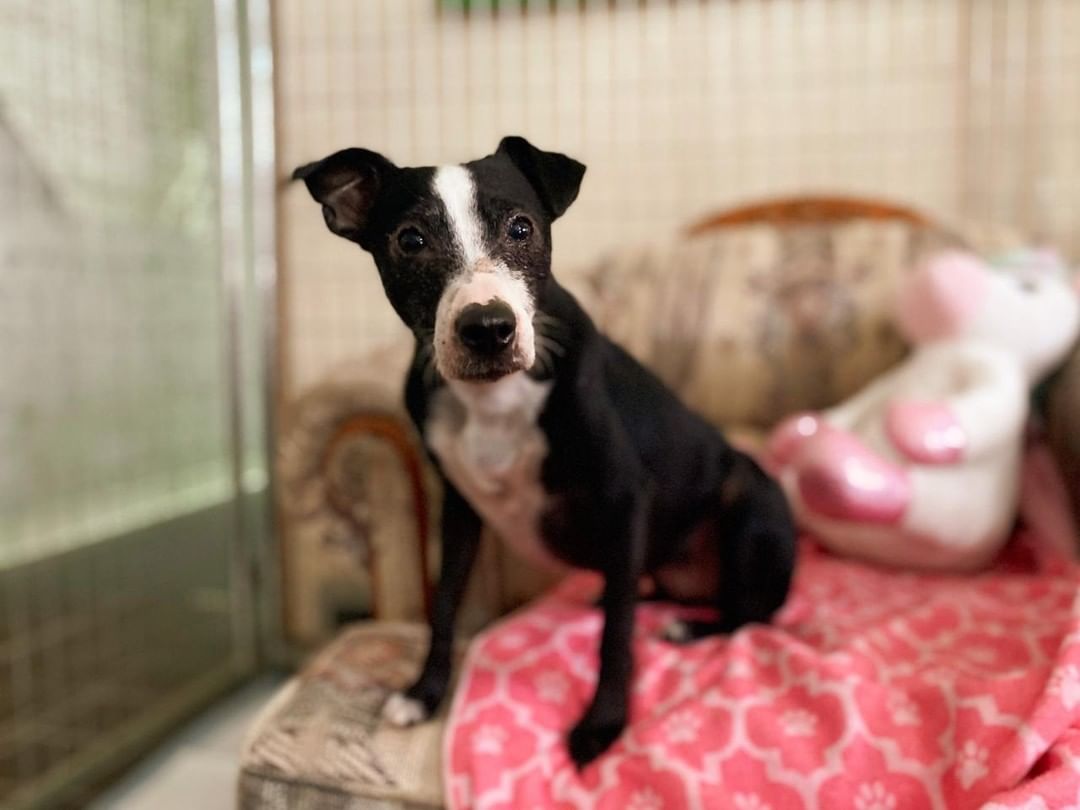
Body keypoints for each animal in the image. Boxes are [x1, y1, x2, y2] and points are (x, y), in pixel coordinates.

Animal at [293, 138, 794, 768]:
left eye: (520, 227)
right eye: (410, 239)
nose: (488, 328)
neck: (494, 400)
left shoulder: (624, 497)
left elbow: (616, 636)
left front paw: (602, 725)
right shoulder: (460, 510)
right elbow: (445, 606)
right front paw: (424, 694)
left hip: (749, 499)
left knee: (750, 614)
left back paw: (688, 627)